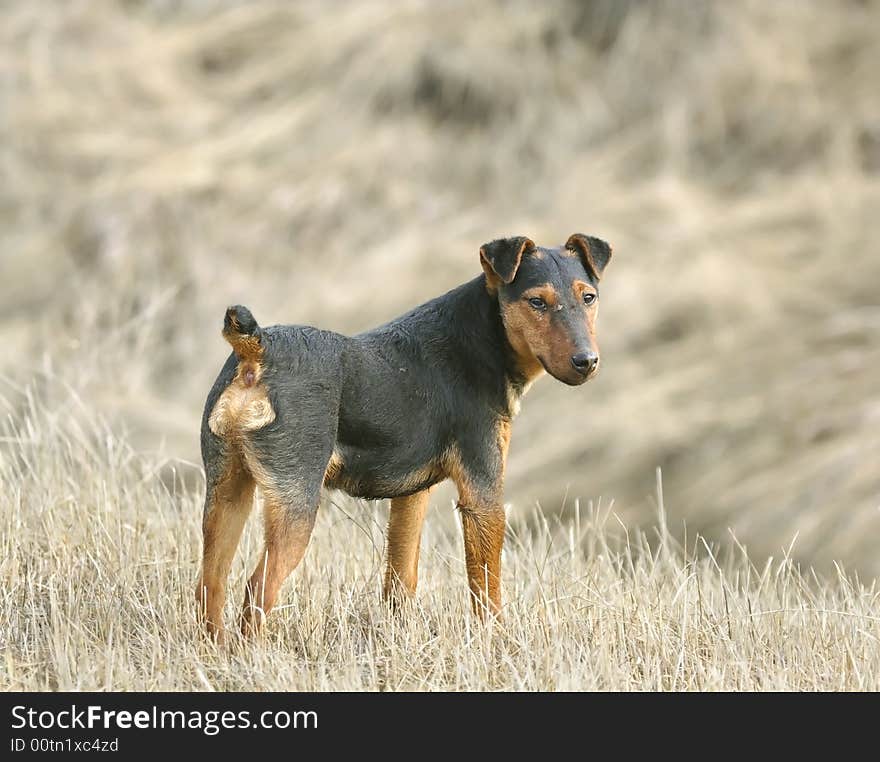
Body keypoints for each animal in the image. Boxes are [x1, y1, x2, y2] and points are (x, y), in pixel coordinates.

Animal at [198, 235, 612, 640]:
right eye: (537, 301)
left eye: (588, 297)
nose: (587, 362)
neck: (485, 336)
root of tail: (256, 349)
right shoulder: (483, 494)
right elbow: (486, 591)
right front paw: (496, 644)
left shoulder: (412, 495)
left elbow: (401, 579)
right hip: (296, 502)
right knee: (256, 590)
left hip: (227, 491)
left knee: (210, 585)